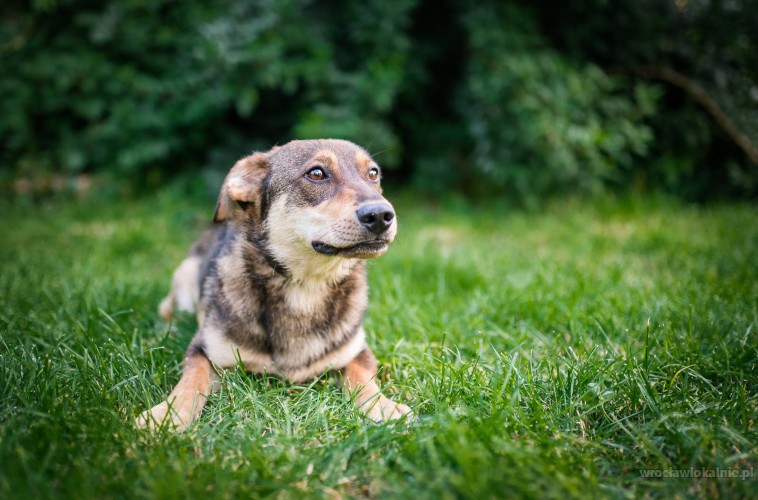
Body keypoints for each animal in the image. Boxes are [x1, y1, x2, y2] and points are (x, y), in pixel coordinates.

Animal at [134, 138, 412, 430]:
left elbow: (362, 376)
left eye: (373, 174)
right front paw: (166, 415)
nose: (381, 215)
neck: (306, 286)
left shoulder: (357, 350)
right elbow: (191, 380)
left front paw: (381, 405)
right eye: (316, 173)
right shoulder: (203, 348)